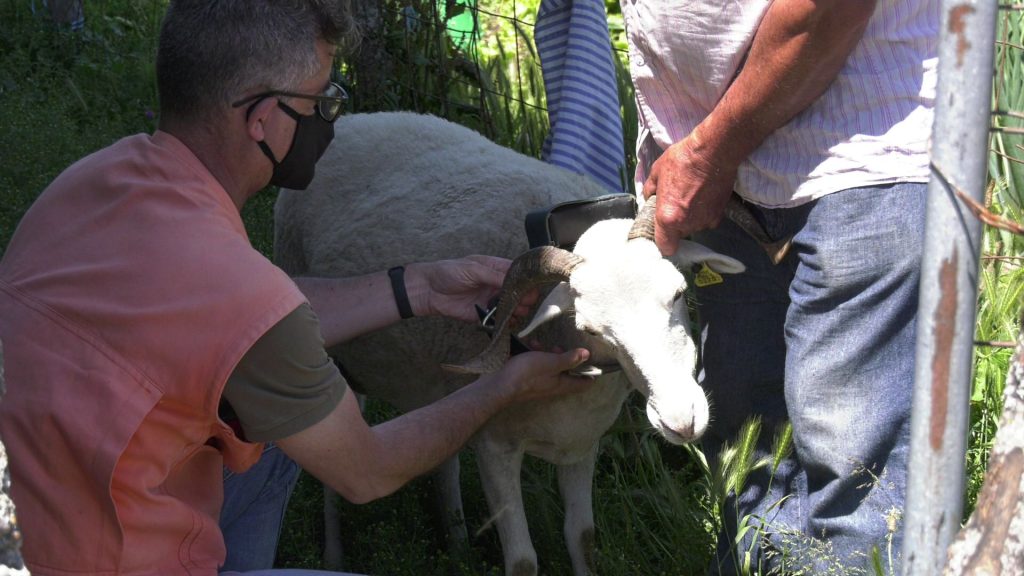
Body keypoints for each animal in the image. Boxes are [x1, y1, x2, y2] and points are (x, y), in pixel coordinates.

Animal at [272, 109, 737, 569]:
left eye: (678, 293)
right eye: (591, 328)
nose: (682, 421)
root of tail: (358, 118)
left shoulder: (581, 442)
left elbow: (582, 537)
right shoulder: (495, 445)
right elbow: (522, 561)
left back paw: (458, 542)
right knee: (334, 473)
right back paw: (334, 555)